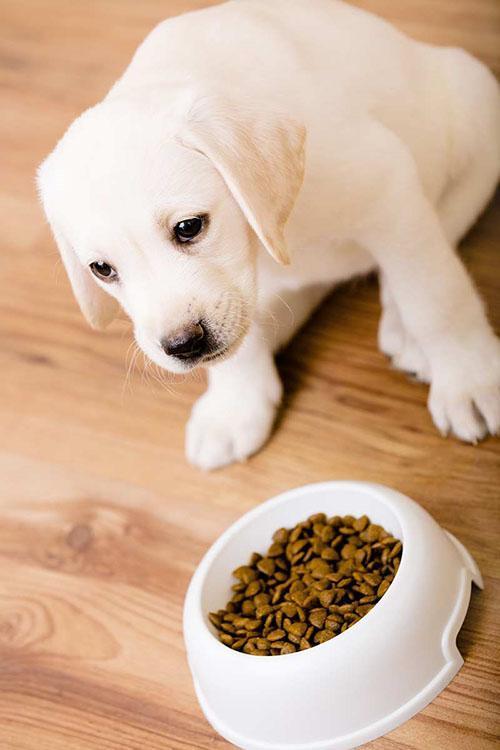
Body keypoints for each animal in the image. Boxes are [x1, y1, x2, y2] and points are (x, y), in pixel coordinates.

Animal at [39, 0, 500, 470]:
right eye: (102, 269)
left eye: (188, 227)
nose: (183, 346)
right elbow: (236, 353)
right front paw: (234, 408)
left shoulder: (390, 191)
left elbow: (436, 298)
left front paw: (467, 378)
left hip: (473, 98)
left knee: (440, 231)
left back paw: (405, 329)